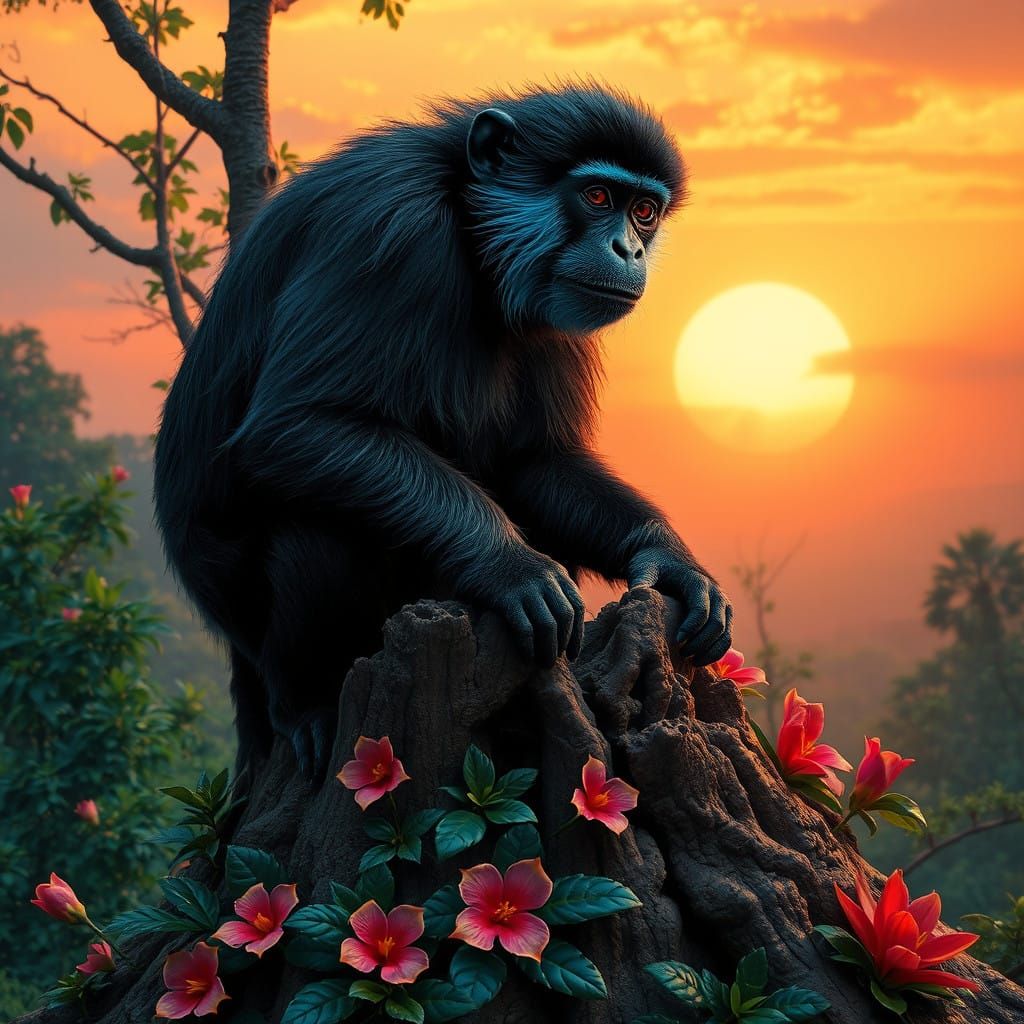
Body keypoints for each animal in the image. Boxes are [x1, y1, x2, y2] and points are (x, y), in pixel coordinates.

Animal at [153, 82, 733, 781]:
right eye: (597, 197)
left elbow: (535, 462)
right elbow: (295, 424)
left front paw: (670, 562)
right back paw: (305, 705)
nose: (630, 248)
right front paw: (509, 565)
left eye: (644, 211)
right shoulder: (387, 231)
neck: (466, 222)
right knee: (318, 531)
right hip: (256, 625)